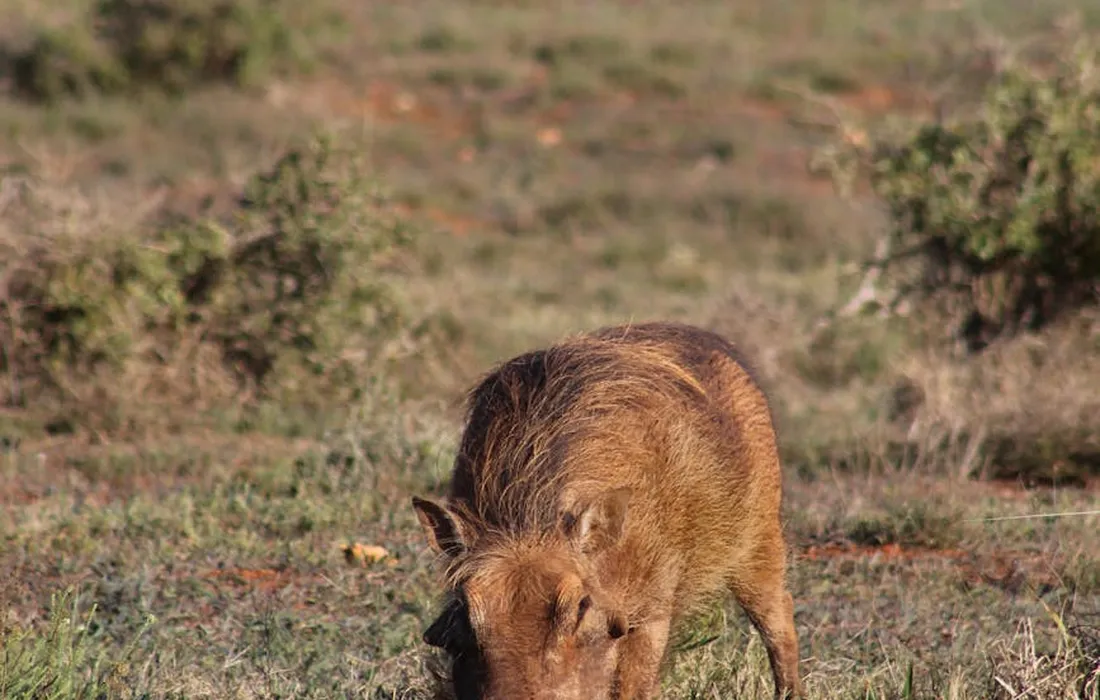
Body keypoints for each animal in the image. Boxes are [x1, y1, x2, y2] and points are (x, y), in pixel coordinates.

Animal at [412, 321, 801, 699]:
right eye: (465, 608)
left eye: (581, 605)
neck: (526, 522)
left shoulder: (650, 614)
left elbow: (633, 686)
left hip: (759, 542)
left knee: (780, 619)